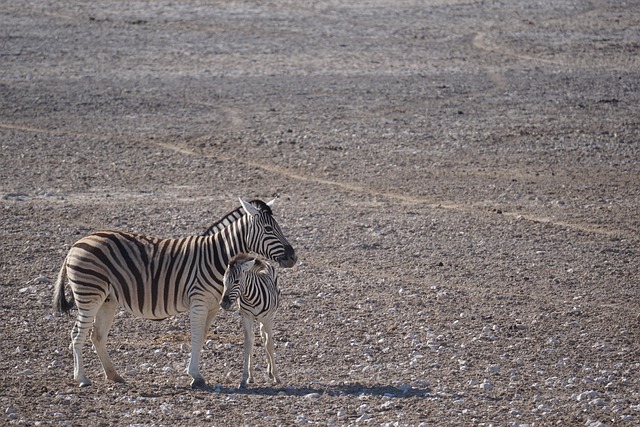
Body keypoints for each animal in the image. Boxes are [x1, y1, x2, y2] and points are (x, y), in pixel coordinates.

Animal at [220, 254, 280, 392]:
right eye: (223, 281)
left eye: (236, 281)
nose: (223, 303)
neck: (250, 298)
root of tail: (263, 261)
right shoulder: (246, 317)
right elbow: (248, 344)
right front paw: (244, 378)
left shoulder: (268, 319)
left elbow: (269, 344)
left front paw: (276, 376)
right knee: (255, 338)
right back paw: (252, 376)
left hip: (269, 317)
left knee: (265, 338)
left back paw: (270, 371)